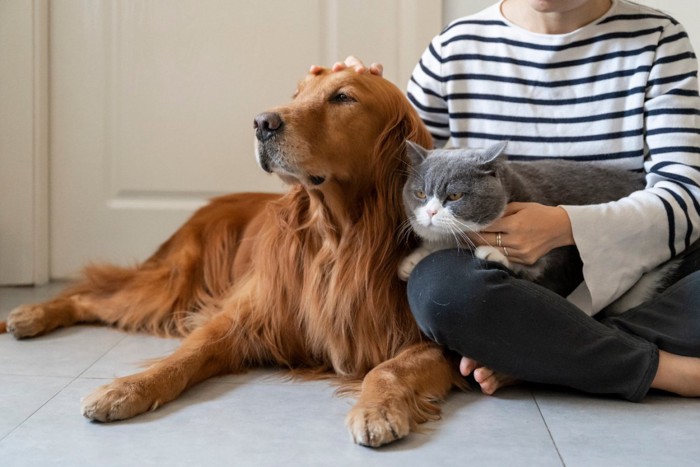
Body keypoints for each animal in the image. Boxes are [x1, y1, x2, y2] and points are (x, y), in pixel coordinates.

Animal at [5, 67, 468, 448]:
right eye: (297, 93)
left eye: (343, 97)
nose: (262, 122)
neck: (338, 237)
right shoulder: (242, 317)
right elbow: (183, 357)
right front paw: (126, 388)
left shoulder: (433, 346)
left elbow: (387, 369)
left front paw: (376, 409)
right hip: (172, 285)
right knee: (92, 294)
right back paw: (30, 314)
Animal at [400, 141, 672, 310]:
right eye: (420, 193)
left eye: (455, 196)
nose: (431, 211)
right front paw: (412, 260)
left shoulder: (557, 258)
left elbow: (535, 267)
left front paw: (494, 252)